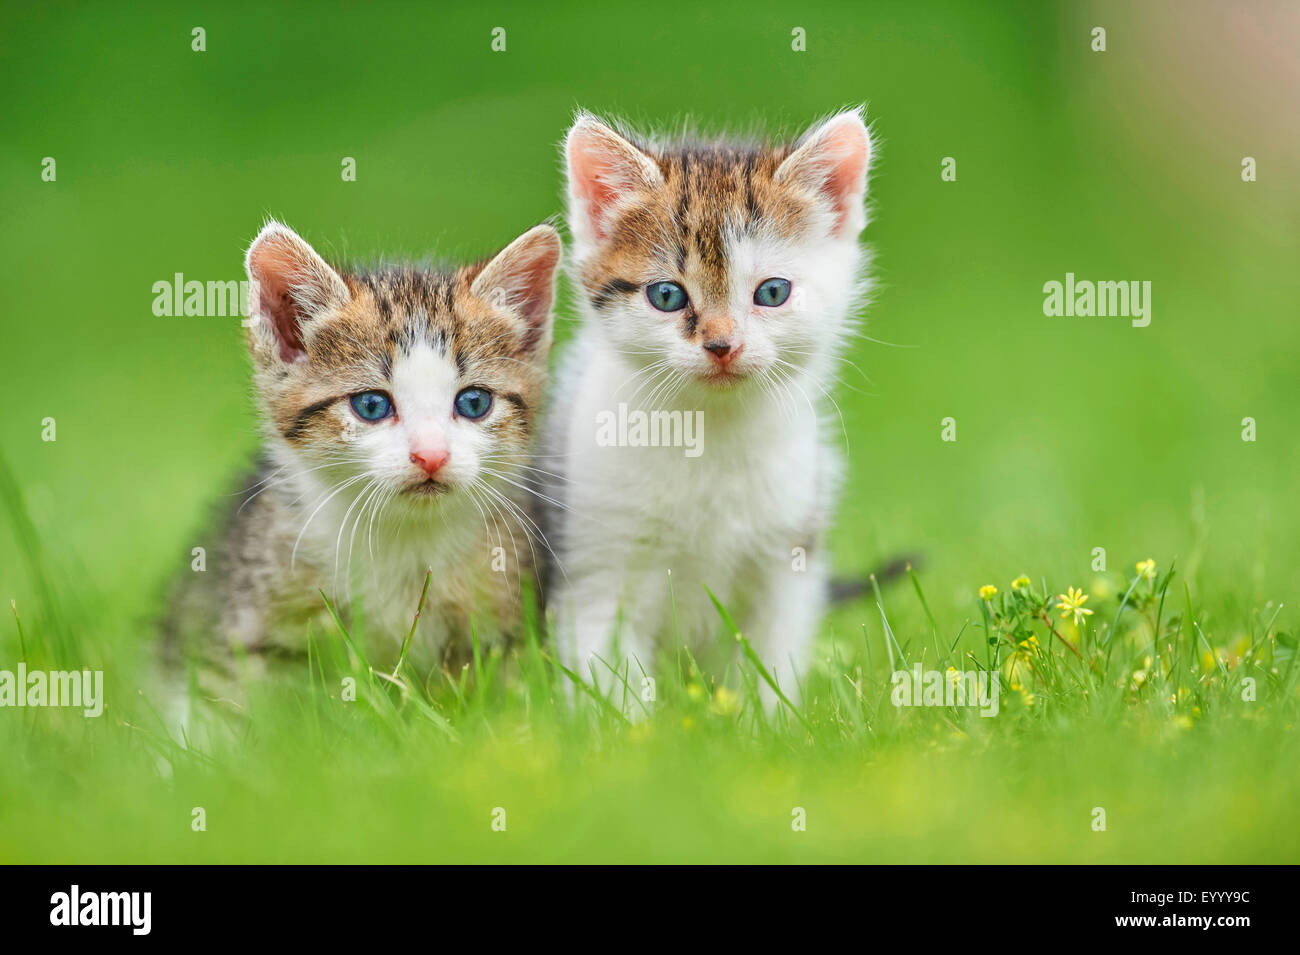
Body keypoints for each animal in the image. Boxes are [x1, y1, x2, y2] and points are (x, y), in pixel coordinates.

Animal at [543, 110, 868, 712]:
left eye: (773, 292)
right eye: (667, 296)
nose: (722, 346)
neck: (707, 432)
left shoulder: (788, 556)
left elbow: (771, 657)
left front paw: (769, 722)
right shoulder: (594, 563)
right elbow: (608, 670)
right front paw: (630, 729)